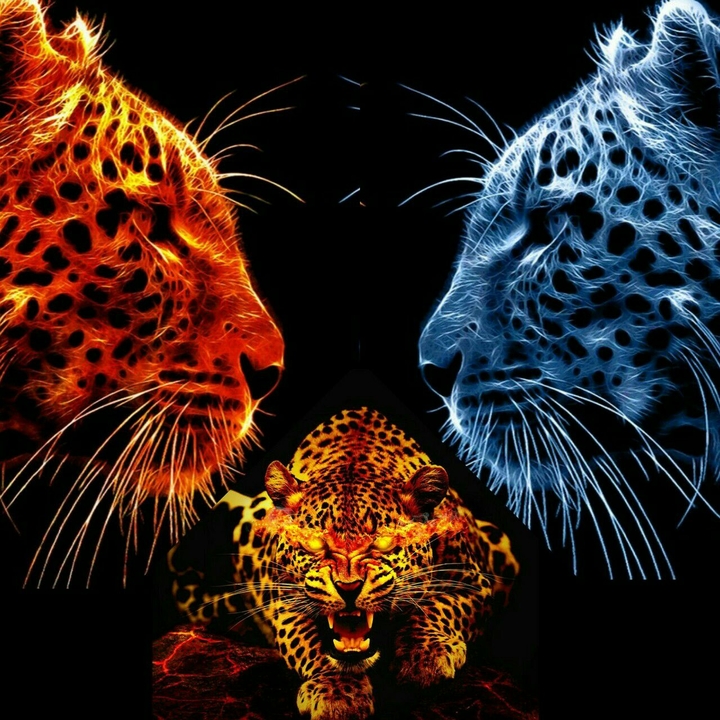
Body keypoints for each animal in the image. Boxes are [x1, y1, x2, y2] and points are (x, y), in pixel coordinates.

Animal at [170, 407, 519, 720]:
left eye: (383, 542)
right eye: (313, 542)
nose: (348, 588)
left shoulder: (472, 580)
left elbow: (439, 607)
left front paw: (426, 656)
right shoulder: (286, 603)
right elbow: (311, 644)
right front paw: (337, 693)